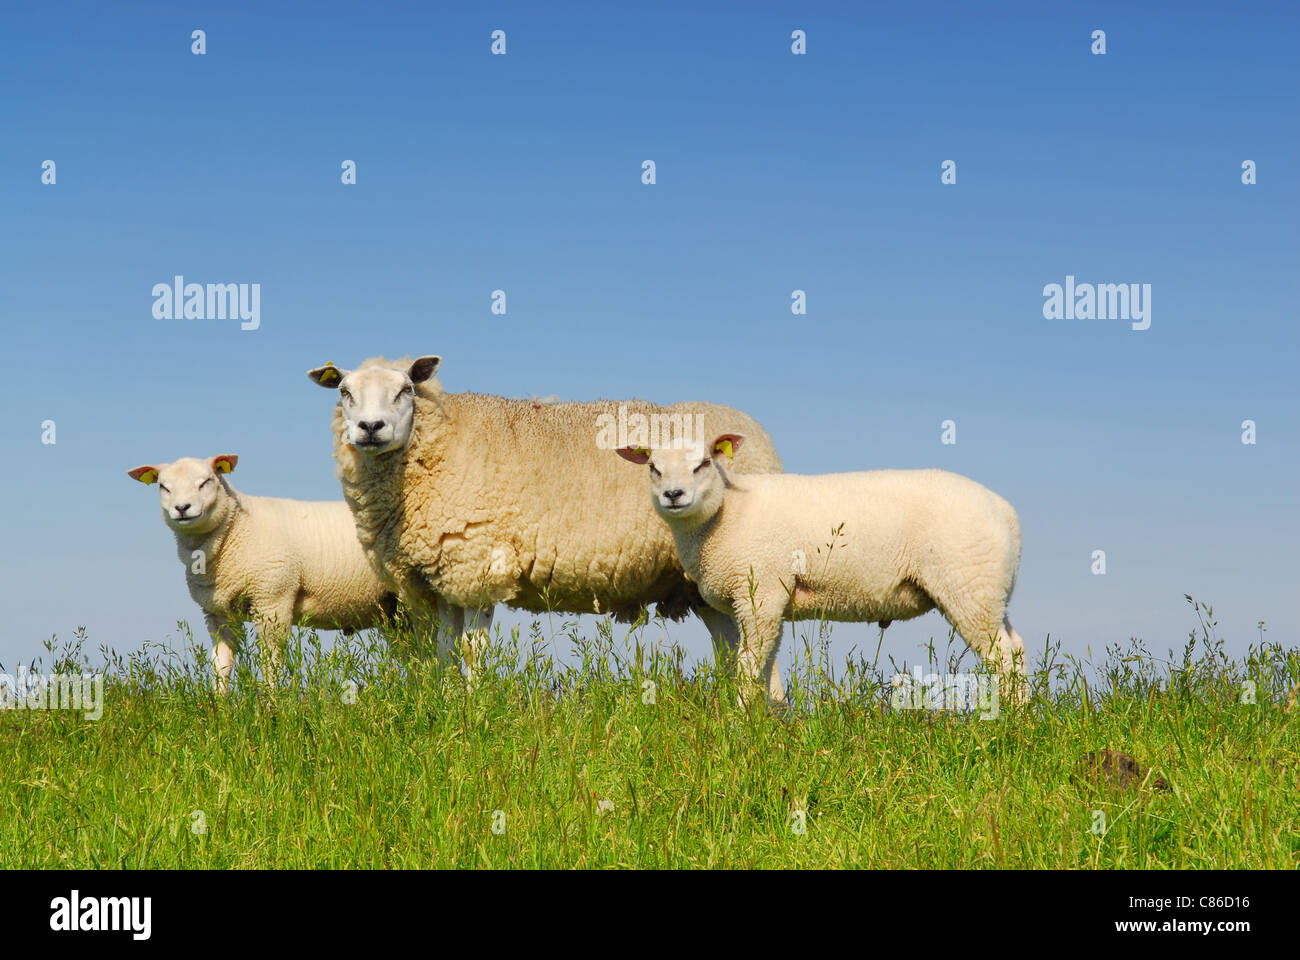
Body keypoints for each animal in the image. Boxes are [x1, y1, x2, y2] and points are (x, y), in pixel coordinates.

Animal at [131, 452, 397, 686]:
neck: (237, 528)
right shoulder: (218, 613)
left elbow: (271, 662)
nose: (182, 508)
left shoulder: (273, 599)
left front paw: (270, 703)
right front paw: (219, 705)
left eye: (206, 481)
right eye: (163, 487)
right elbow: (221, 665)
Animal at [305, 356, 785, 692]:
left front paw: (473, 711)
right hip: (706, 582)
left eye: (405, 389)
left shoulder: (477, 564)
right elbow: (444, 652)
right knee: (733, 651)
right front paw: (445, 702)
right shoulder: (442, 578)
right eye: (344, 392)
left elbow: (472, 653)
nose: (370, 427)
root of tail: (757, 435)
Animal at [616, 434, 1024, 702]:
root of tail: (1005, 510)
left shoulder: (761, 593)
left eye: (702, 464)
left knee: (1002, 659)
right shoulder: (769, 599)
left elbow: (749, 666)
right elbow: (764, 666)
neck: (725, 513)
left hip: (968, 585)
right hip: (991, 590)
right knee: (1016, 649)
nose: (673, 495)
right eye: (653, 468)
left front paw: (738, 721)